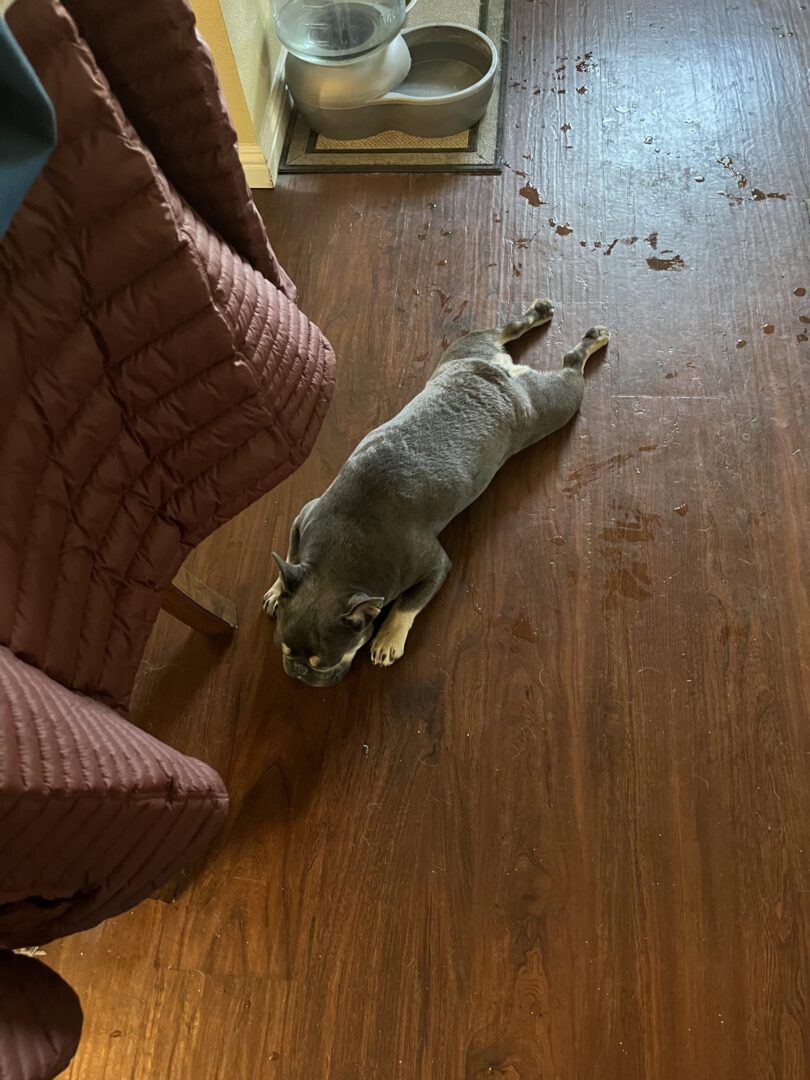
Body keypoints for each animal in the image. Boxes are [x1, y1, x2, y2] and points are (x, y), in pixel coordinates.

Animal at [263, 298, 613, 682]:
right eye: (284, 648)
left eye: (322, 663)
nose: (297, 672)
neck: (338, 563)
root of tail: (497, 373)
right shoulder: (304, 516)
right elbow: (291, 554)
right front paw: (278, 588)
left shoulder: (434, 567)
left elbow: (407, 605)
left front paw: (388, 639)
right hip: (470, 347)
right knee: (508, 329)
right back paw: (539, 313)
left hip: (555, 404)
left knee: (571, 365)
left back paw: (592, 341)